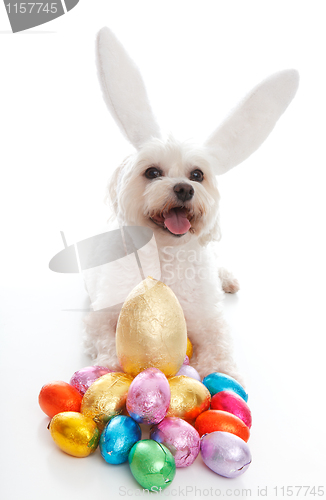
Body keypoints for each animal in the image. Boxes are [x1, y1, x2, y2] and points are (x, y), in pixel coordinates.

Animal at [83, 27, 298, 382]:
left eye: (197, 175)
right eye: (152, 172)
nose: (184, 189)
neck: (166, 256)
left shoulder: (207, 319)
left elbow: (219, 346)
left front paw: (223, 375)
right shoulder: (103, 313)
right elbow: (106, 334)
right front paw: (109, 370)